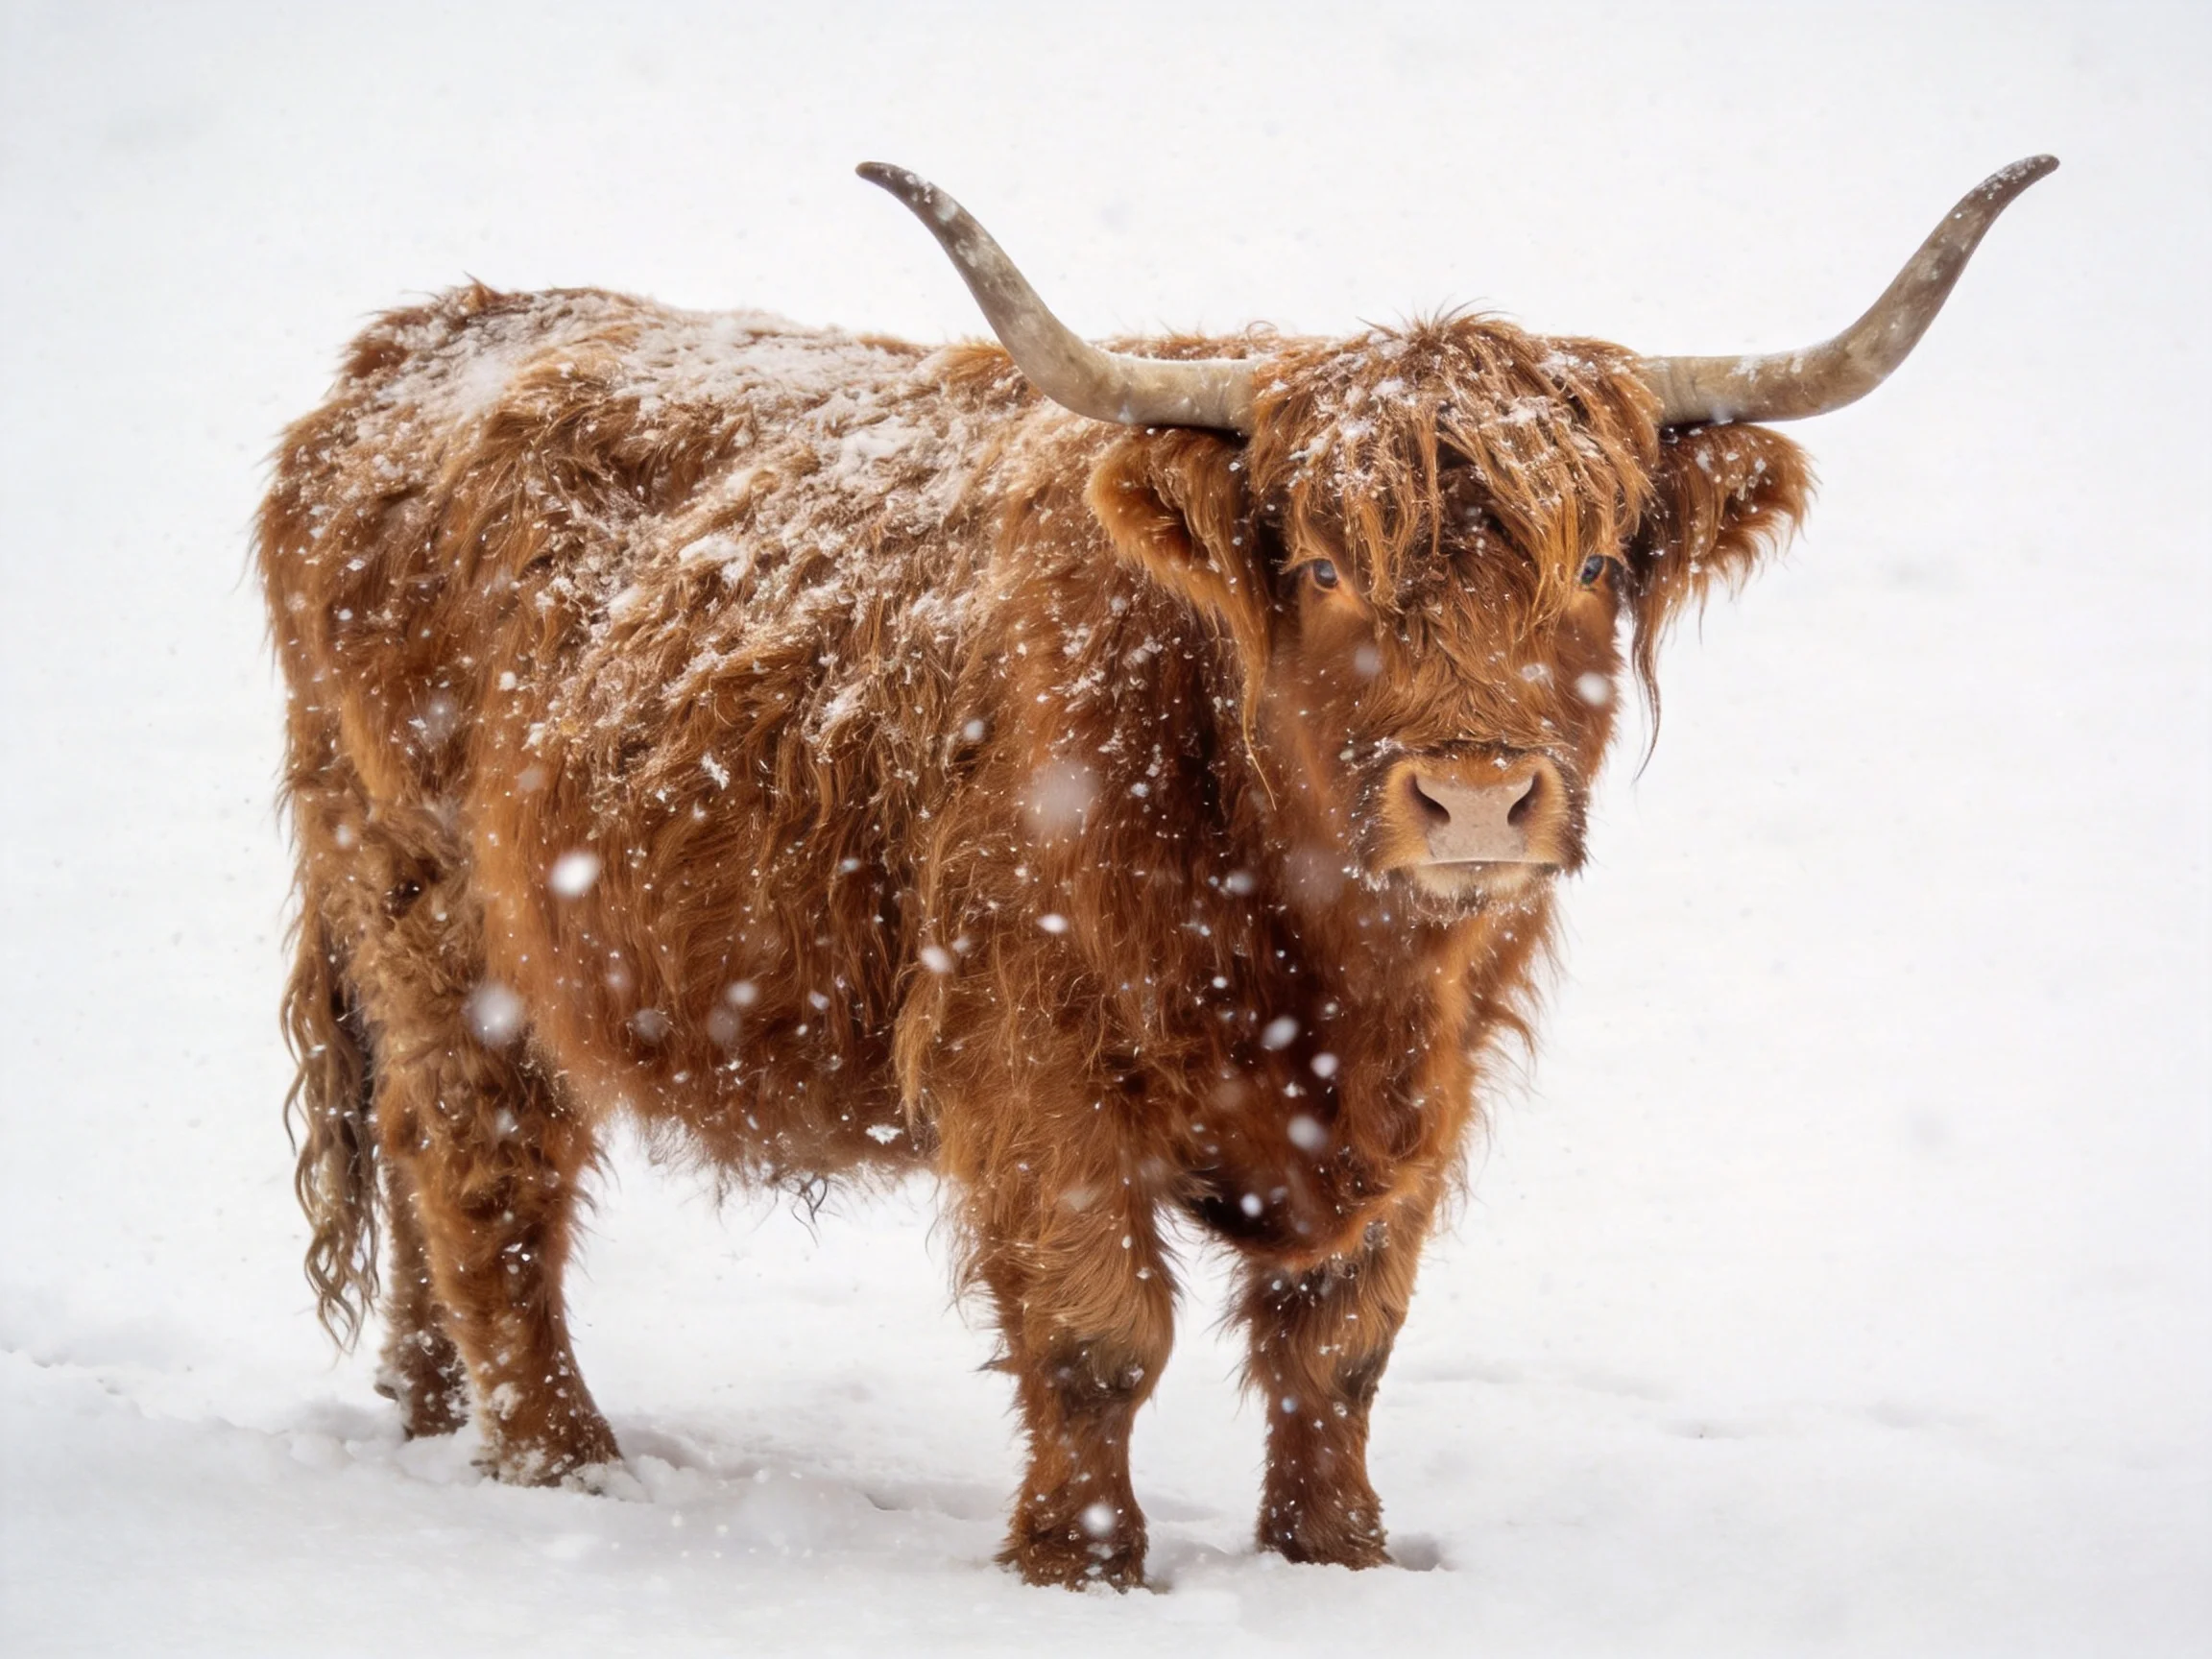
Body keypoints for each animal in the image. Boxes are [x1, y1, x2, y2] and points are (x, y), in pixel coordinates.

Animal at [258, 156, 2053, 1588]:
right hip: (434, 914)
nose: (1475, 794)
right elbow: (1096, 1334)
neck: (1321, 952)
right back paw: (560, 1459)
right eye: (1321, 569)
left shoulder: (1424, 1085)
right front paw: (1083, 1567)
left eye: (1602, 563)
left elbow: (1340, 1343)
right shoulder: (1031, 1061)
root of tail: (425, 337)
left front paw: (1338, 1558)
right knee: (481, 1168)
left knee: (421, 1165)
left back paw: (431, 1410)